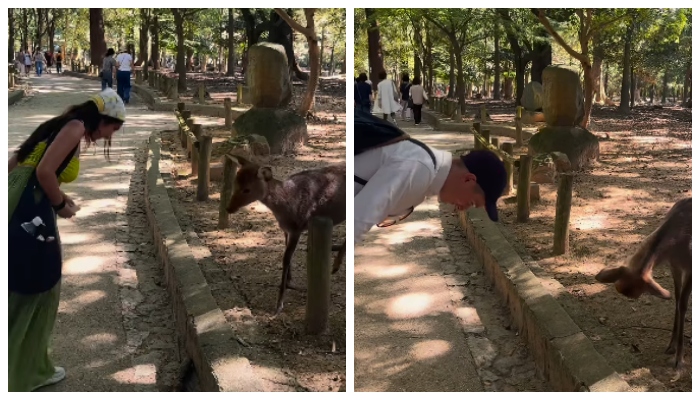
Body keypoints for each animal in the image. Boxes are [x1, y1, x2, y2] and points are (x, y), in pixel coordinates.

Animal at [226, 155, 346, 314]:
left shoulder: (297, 228)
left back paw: (335, 265)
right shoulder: (285, 229)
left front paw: (279, 304)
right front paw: (289, 281)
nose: (228, 208)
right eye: (234, 183)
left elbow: (286, 258)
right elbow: (286, 255)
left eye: (247, 189)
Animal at [592, 197, 692, 368]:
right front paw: (671, 346)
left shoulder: (691, 266)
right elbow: (677, 300)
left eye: (636, 294)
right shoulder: (674, 265)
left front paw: (679, 359)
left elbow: (683, 304)